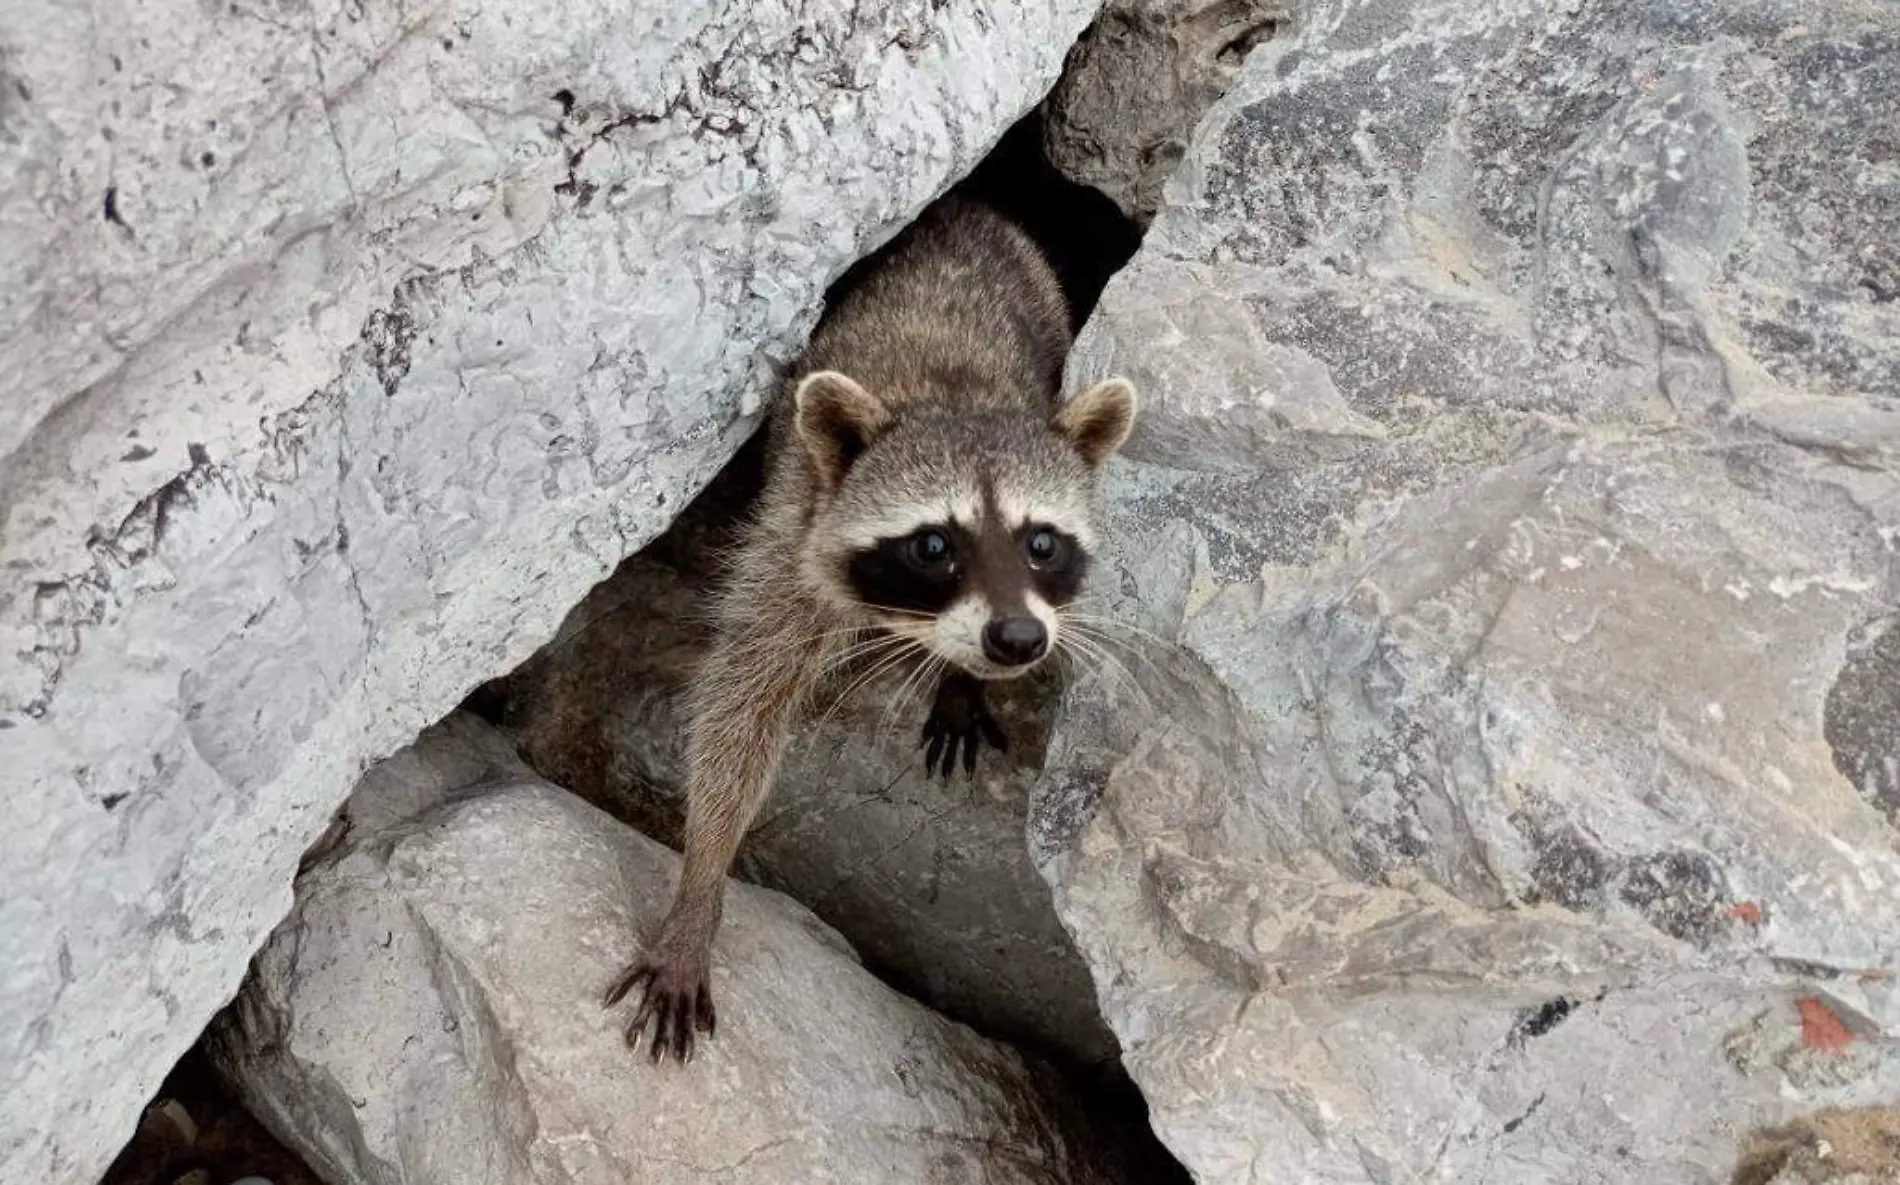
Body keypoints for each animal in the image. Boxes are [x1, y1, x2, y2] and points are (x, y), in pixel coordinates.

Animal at [600, 194, 1132, 1063]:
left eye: (1041, 542)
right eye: (934, 545)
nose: (1017, 640)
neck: (953, 398)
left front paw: (963, 676)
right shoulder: (791, 544)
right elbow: (739, 713)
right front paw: (700, 886)